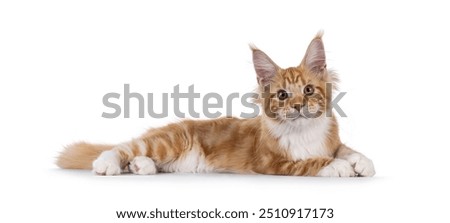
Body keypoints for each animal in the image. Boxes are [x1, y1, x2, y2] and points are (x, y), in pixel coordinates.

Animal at [59, 32, 376, 177]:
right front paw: (339, 167)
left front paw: (362, 163)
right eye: (283, 95)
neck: (303, 132)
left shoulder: (331, 141)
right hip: (166, 142)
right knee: (123, 147)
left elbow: (346, 150)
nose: (298, 107)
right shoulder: (272, 163)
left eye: (308, 90)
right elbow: (312, 161)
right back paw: (107, 163)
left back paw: (141, 167)